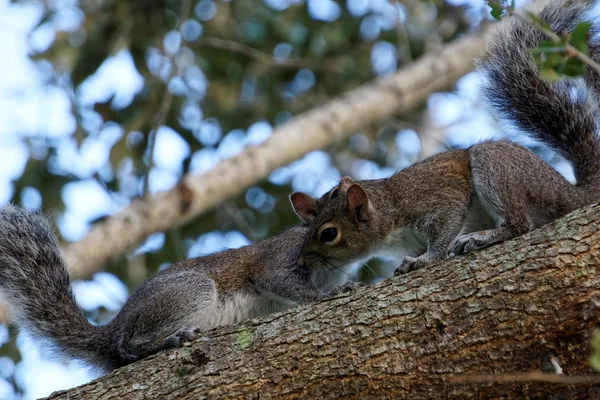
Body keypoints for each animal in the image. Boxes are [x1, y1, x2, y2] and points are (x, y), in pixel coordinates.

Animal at [0, 206, 356, 372]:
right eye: (329, 230)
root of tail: (114, 327)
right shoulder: (279, 257)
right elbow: (278, 280)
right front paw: (326, 296)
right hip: (189, 291)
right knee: (128, 346)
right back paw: (170, 339)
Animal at [288, 0, 600, 276]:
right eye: (306, 230)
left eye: (329, 233)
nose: (301, 263)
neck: (388, 212)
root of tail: (572, 192)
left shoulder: (435, 202)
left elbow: (444, 230)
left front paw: (424, 260)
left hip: (498, 166)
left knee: (520, 225)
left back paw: (482, 237)